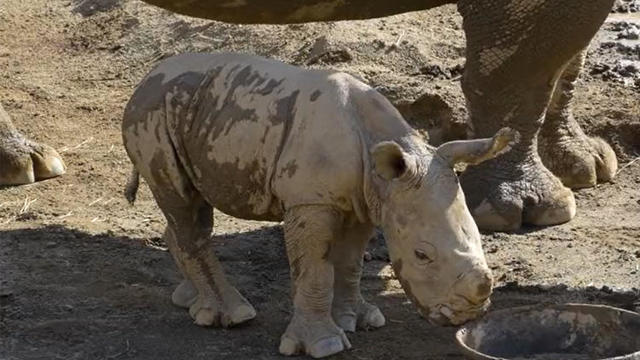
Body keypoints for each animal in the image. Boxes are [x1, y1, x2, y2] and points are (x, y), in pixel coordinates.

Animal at [122, 52, 516, 358]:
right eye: (422, 255)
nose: (468, 314)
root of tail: (145, 78)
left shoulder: (367, 198)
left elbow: (350, 261)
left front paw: (359, 320)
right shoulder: (310, 200)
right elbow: (315, 267)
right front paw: (325, 344)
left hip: (194, 110)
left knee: (189, 206)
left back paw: (189, 301)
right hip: (152, 114)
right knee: (182, 204)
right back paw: (231, 315)